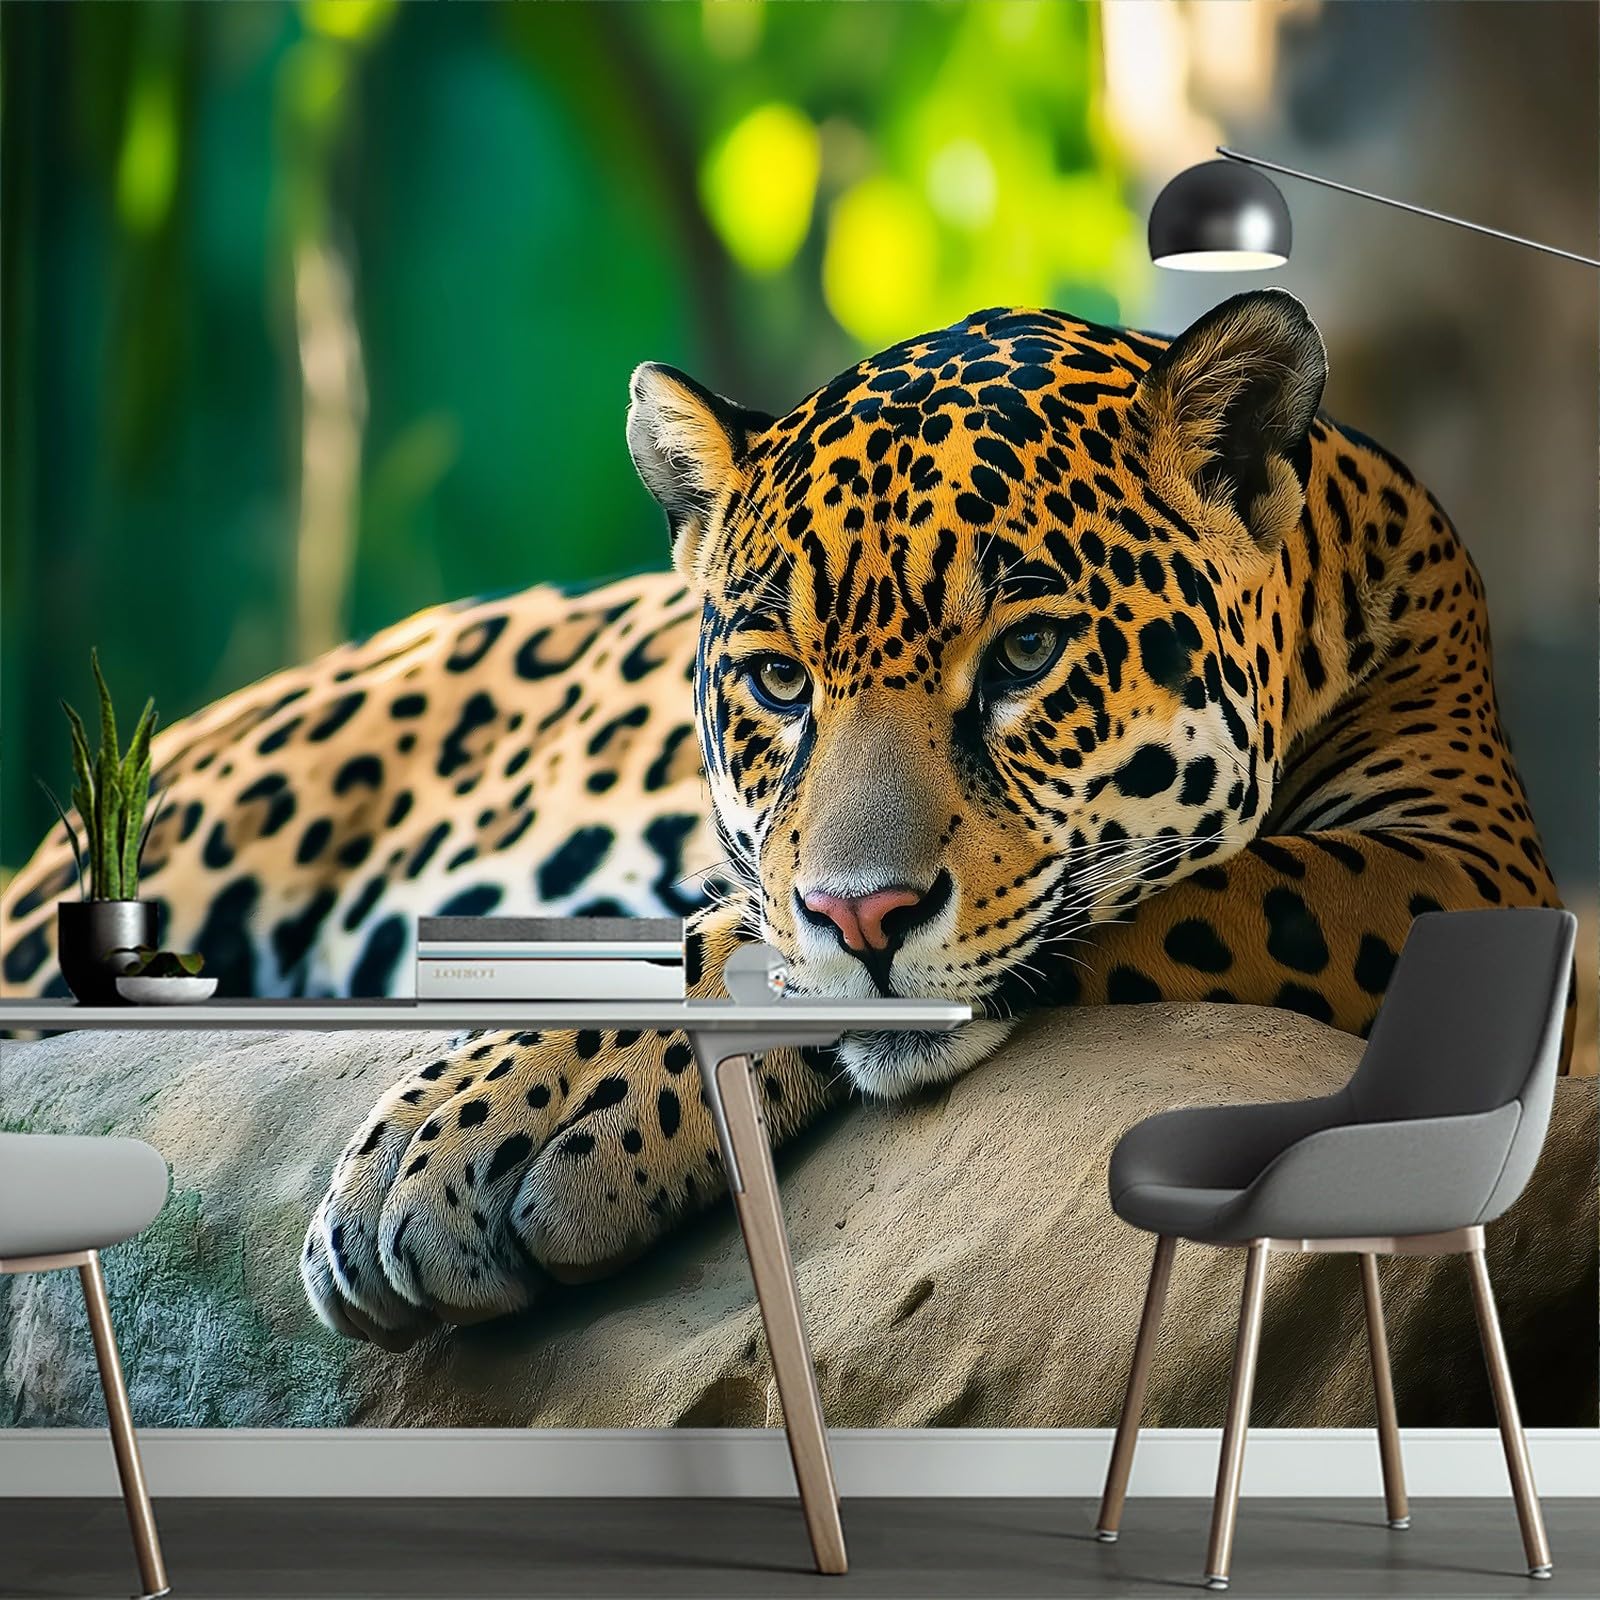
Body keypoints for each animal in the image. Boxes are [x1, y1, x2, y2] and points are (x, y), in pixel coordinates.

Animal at [0, 289, 1563, 1350]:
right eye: (776, 680)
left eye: (1026, 654)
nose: (862, 914)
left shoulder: (1462, 867)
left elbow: (1184, 886)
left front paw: (502, 1118)